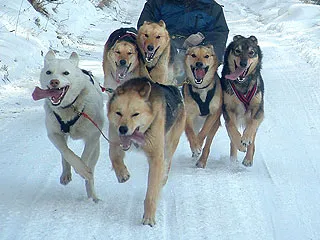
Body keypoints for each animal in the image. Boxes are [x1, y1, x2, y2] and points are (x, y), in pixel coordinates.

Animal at [32, 51, 104, 202]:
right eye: (49, 72)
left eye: (65, 73)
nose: (54, 81)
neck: (70, 108)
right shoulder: (54, 134)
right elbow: (67, 153)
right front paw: (77, 168)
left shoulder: (93, 136)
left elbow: (85, 157)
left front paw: (83, 170)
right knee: (64, 153)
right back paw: (66, 174)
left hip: (97, 149)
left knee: (91, 169)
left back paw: (93, 195)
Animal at [107, 77, 185, 227]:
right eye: (118, 113)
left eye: (135, 114)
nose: (123, 129)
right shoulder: (114, 141)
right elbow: (114, 156)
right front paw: (122, 173)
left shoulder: (156, 157)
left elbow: (151, 193)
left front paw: (149, 217)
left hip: (169, 145)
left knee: (166, 165)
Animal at [221, 35, 264, 167]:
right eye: (237, 51)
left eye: (251, 52)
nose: (243, 63)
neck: (242, 84)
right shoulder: (228, 109)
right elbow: (231, 128)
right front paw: (240, 144)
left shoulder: (258, 109)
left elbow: (252, 125)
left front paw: (245, 139)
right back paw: (233, 159)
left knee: (253, 139)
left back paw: (248, 159)